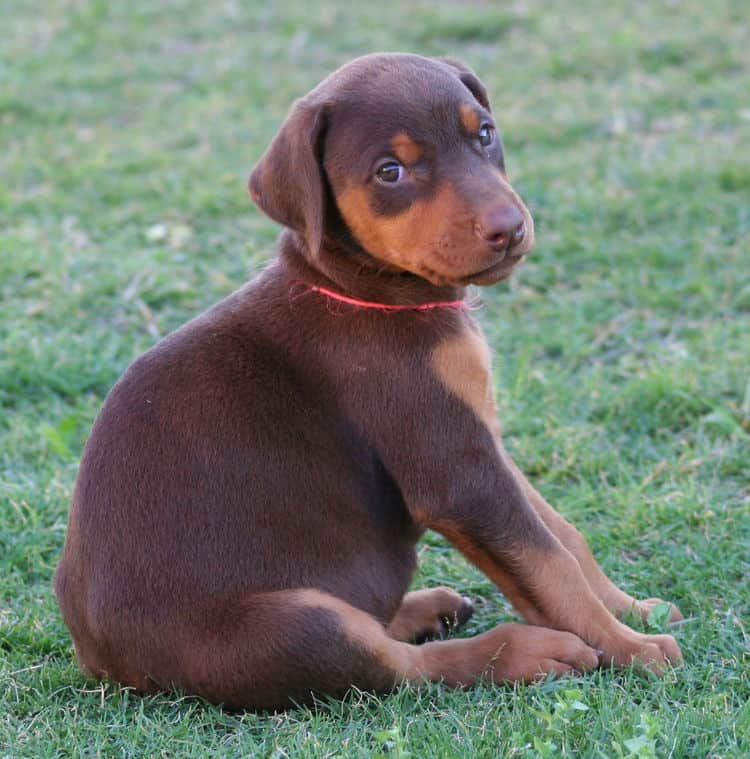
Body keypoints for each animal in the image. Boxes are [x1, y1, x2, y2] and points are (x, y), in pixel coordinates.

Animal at [55, 55, 684, 712]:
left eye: (484, 133)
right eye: (391, 172)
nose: (509, 228)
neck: (370, 292)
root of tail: (104, 663)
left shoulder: (480, 439)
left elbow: (561, 535)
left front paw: (630, 609)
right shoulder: (454, 469)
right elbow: (547, 564)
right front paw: (630, 647)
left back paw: (430, 608)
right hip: (288, 625)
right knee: (397, 669)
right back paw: (523, 651)